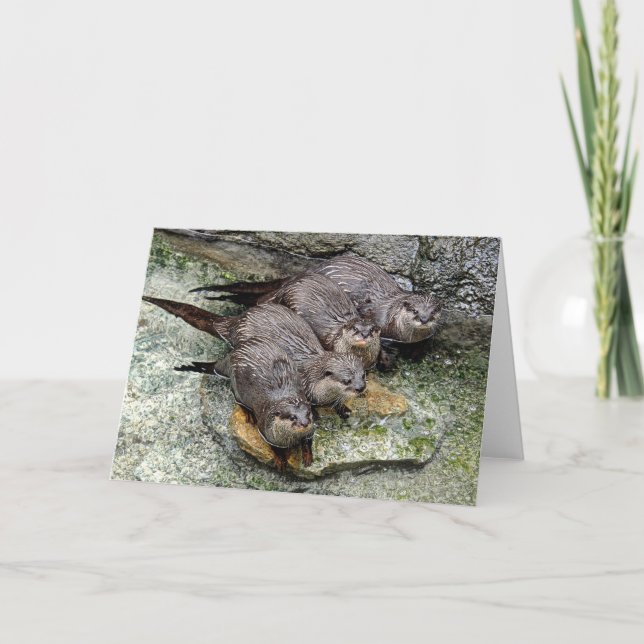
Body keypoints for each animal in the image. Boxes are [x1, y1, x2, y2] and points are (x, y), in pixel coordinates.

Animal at [143, 297, 366, 418]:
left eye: (363, 375)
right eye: (346, 380)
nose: (361, 388)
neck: (312, 375)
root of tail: (236, 323)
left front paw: (343, 409)